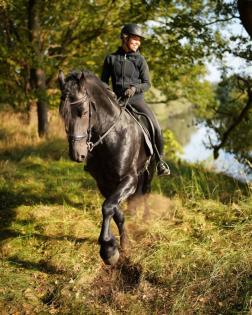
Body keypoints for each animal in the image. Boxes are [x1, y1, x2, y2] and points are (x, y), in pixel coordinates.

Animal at [58, 70, 156, 266]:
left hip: (149, 171)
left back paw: (145, 219)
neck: (112, 137)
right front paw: (119, 244)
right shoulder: (103, 183)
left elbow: (108, 207)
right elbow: (114, 210)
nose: (77, 154)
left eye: (83, 112)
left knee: (146, 192)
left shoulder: (129, 179)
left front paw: (108, 250)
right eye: (63, 114)